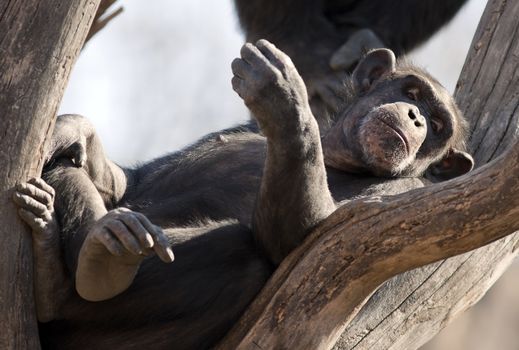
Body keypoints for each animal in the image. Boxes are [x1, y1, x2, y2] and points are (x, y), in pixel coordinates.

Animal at [13, 40, 476, 348]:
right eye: (412, 93)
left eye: (438, 125)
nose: (416, 117)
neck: (342, 158)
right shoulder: (235, 129)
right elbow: (136, 181)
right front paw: (77, 129)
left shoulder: (408, 194)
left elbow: (321, 245)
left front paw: (287, 100)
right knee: (68, 172)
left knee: (239, 252)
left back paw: (85, 271)